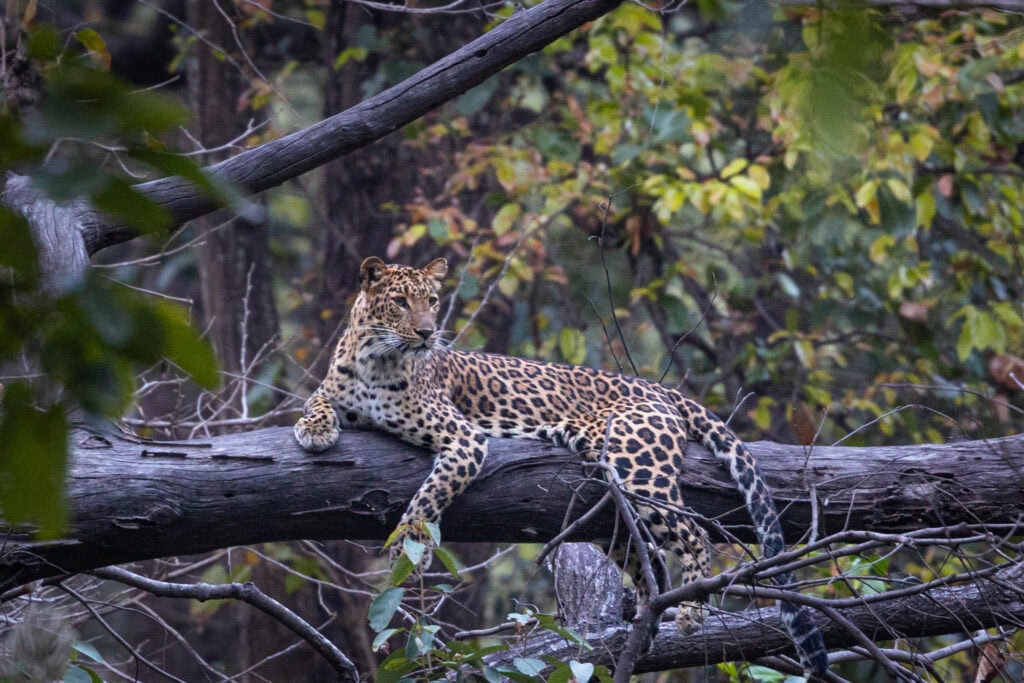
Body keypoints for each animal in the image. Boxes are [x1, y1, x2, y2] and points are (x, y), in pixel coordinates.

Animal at [295, 256, 828, 678]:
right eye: (402, 302)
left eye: (432, 300)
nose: (427, 333)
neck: (376, 358)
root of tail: (659, 387)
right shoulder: (338, 390)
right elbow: (317, 399)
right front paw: (314, 428)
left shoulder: (464, 439)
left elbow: (430, 495)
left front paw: (410, 546)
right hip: (612, 495)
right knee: (651, 557)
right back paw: (646, 626)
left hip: (637, 465)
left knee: (694, 534)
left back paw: (692, 615)